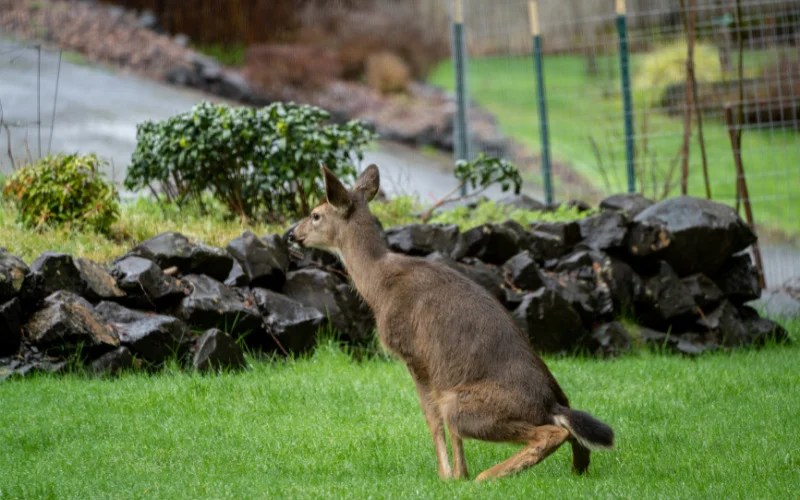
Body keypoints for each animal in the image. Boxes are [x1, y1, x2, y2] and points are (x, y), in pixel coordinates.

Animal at [286, 164, 614, 481]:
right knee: (575, 439)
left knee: (552, 432)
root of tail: (551, 404)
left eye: (315, 215)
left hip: (464, 406)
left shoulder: (413, 353)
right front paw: (459, 474)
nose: (290, 234)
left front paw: (446, 476)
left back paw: (487, 476)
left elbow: (431, 416)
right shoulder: (438, 369)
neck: (378, 283)